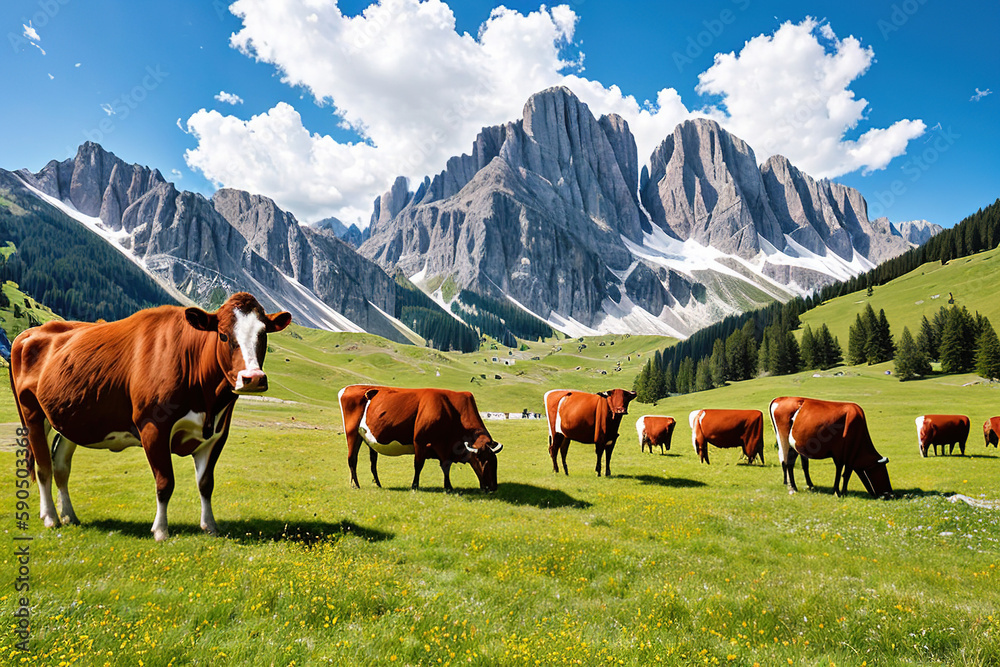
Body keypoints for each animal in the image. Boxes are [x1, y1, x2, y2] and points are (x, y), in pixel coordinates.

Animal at [9, 293, 291, 540]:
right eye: (223, 334)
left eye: (263, 334)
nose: (253, 378)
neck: (207, 401)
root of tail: (28, 334)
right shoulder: (153, 427)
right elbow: (165, 483)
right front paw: (161, 530)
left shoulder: (218, 433)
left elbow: (206, 483)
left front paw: (209, 526)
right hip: (31, 414)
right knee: (43, 466)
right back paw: (50, 517)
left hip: (70, 420)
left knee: (60, 466)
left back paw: (69, 515)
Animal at [338, 385, 503, 491]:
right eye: (482, 460)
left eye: (495, 462)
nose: (493, 487)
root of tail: (349, 388)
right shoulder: (420, 441)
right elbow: (418, 465)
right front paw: (415, 486)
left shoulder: (444, 447)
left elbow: (445, 466)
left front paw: (448, 486)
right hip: (352, 432)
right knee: (352, 458)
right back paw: (356, 485)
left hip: (367, 438)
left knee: (373, 461)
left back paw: (378, 484)